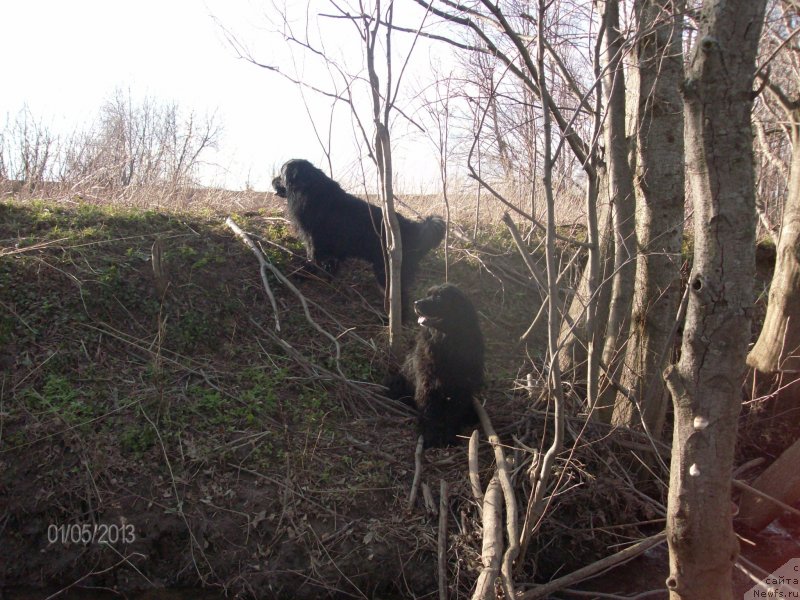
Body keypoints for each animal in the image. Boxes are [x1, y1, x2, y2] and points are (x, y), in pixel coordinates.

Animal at [268, 159, 444, 318]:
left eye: (281, 174)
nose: (272, 180)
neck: (310, 191)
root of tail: (415, 229)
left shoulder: (314, 242)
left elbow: (312, 260)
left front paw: (304, 275)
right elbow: (330, 266)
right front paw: (329, 279)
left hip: (386, 272)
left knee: (400, 301)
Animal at [386, 284, 484, 448]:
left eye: (438, 297)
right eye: (428, 294)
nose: (416, 303)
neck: (447, 342)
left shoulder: (461, 389)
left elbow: (453, 415)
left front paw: (450, 437)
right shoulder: (428, 385)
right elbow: (429, 413)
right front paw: (430, 438)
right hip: (397, 381)